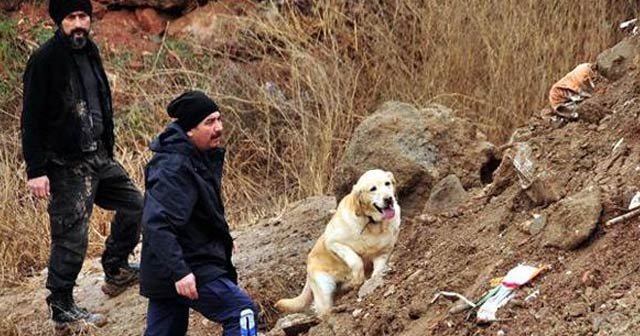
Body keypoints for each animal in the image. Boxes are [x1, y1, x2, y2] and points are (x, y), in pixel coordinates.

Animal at [274, 169, 400, 316]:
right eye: (373, 189)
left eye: (387, 183)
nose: (389, 199)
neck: (372, 224)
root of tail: (308, 268)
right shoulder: (333, 242)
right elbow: (356, 260)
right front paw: (357, 279)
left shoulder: (382, 254)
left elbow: (377, 271)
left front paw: (371, 282)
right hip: (324, 288)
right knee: (323, 312)